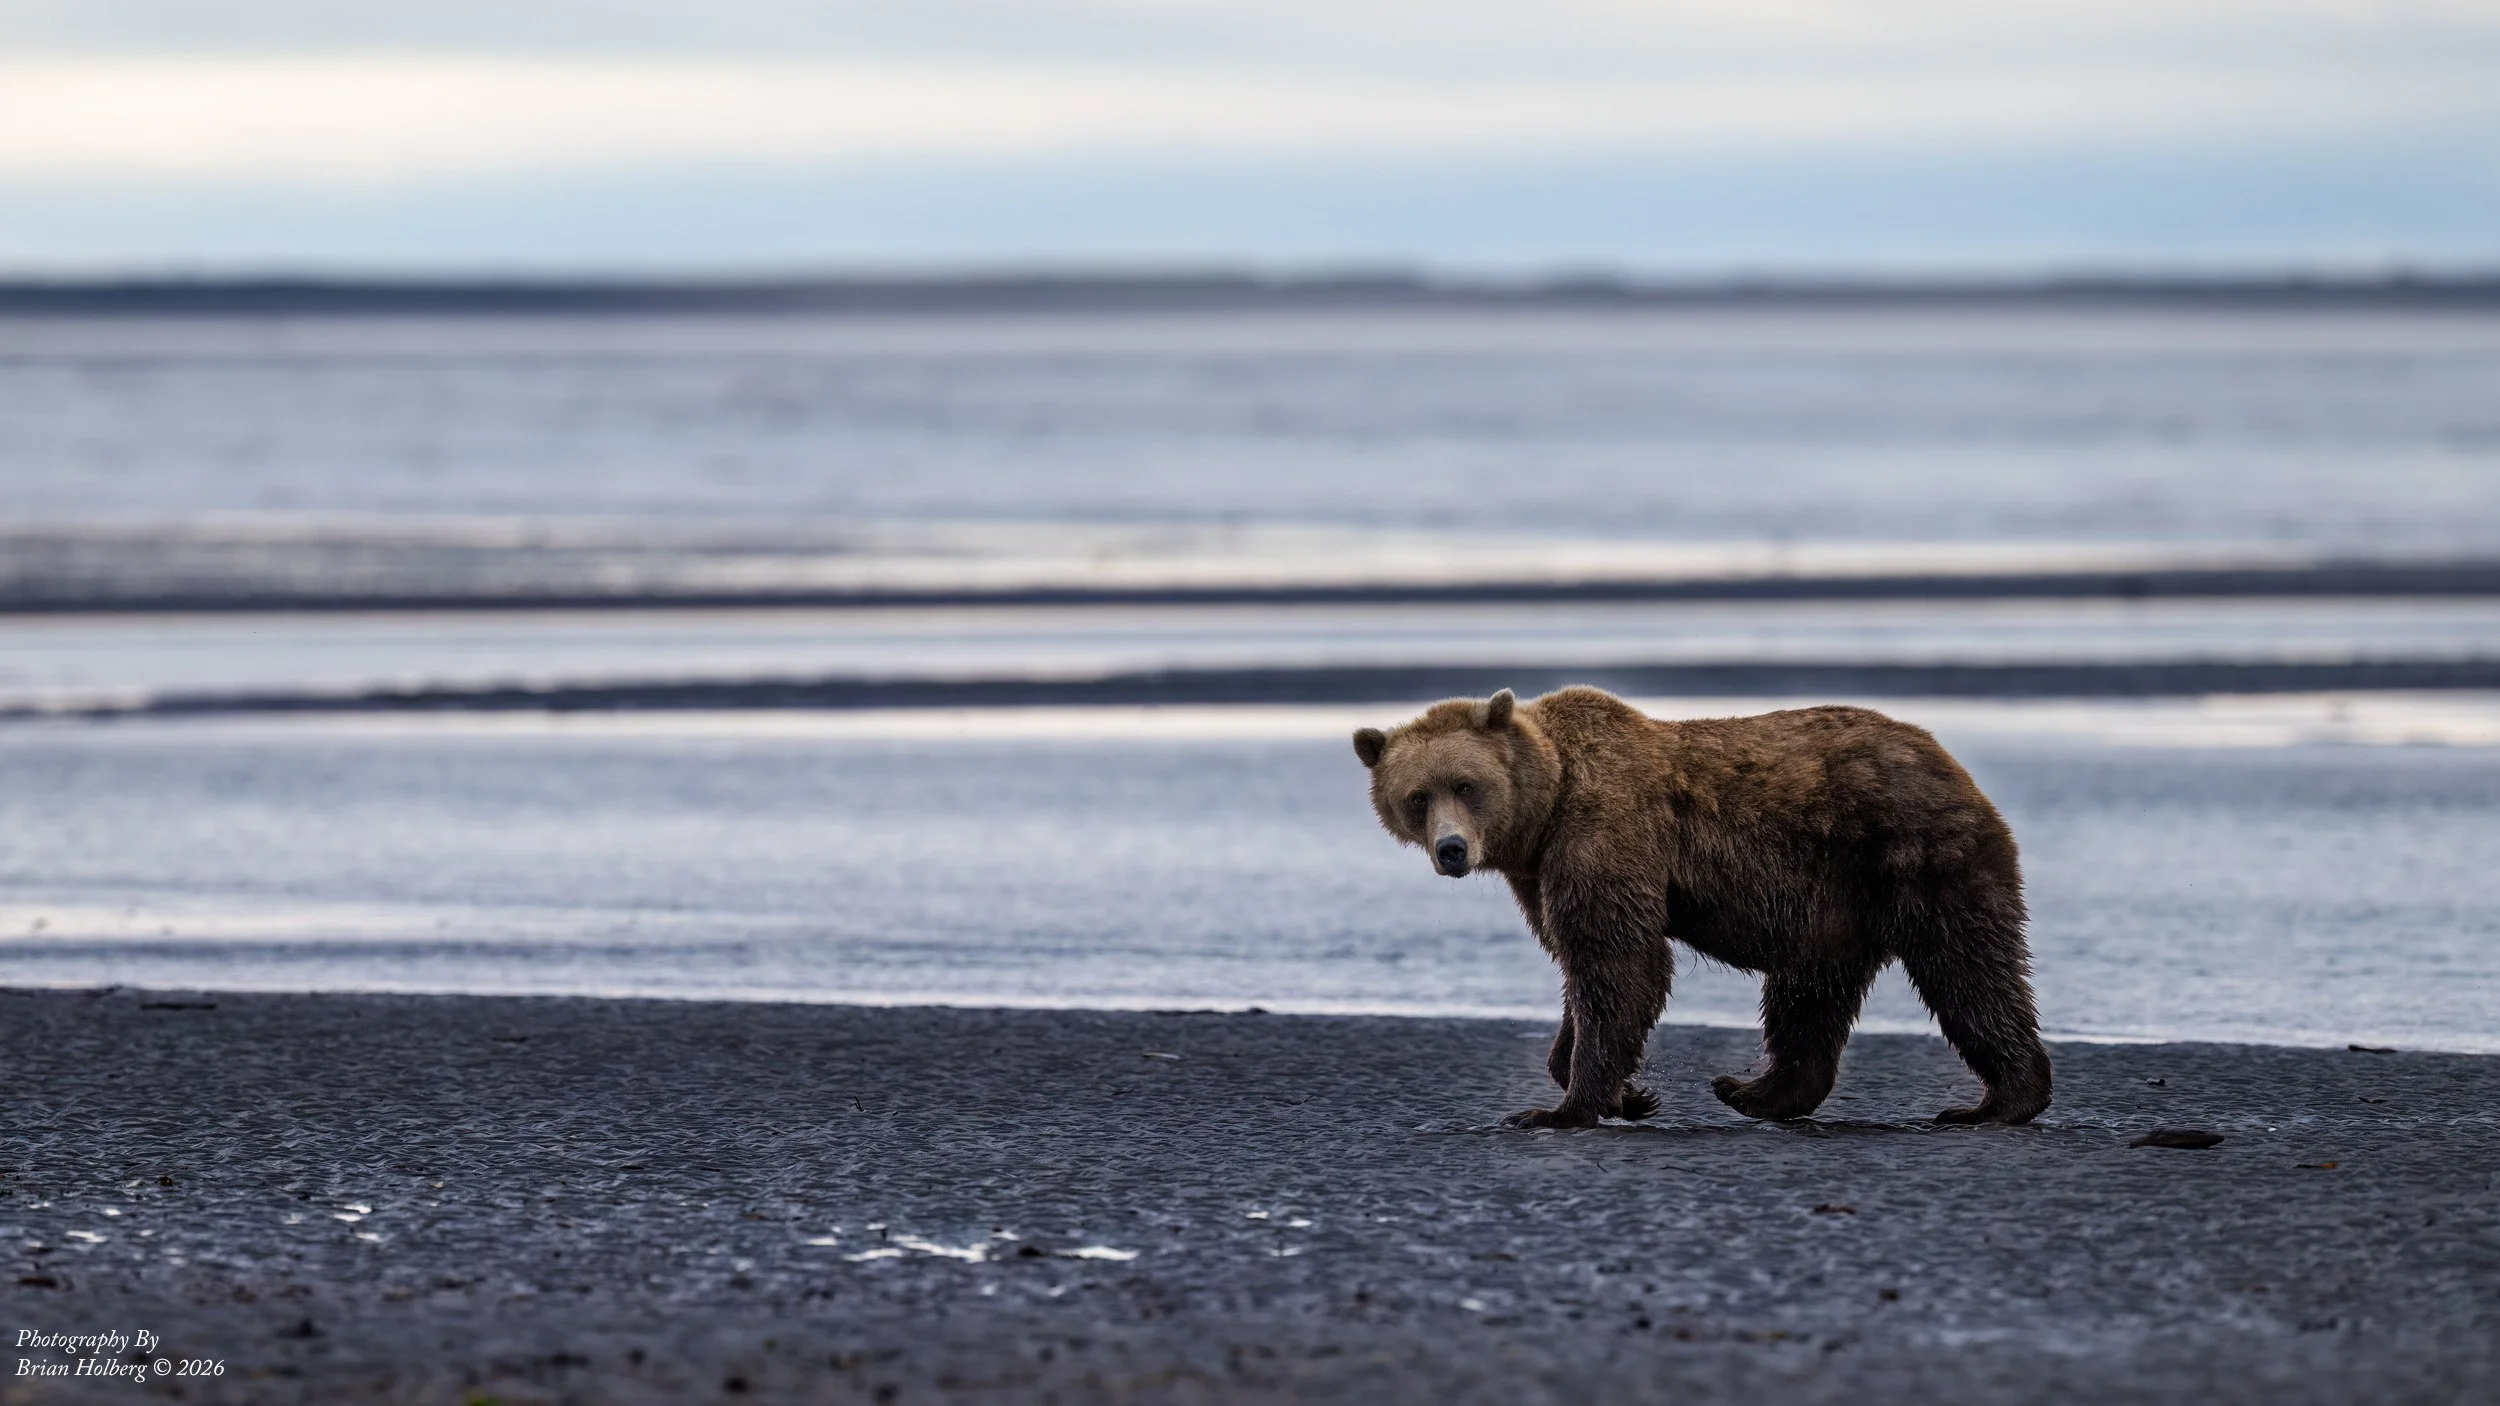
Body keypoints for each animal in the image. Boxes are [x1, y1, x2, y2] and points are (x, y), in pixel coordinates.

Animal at [1354, 686, 2050, 1129]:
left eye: (1466, 785)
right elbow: (1583, 963)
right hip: (1832, 906)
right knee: (1811, 992)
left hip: (1913, 853)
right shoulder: (1537, 873)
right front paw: (1629, 1095)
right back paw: (1753, 1091)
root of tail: (1947, 758)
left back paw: (1995, 1102)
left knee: (1965, 968)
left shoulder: (1604, 832)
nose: (1451, 849)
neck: (1548, 806)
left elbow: (1618, 960)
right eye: (1417, 796)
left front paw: (1562, 1109)